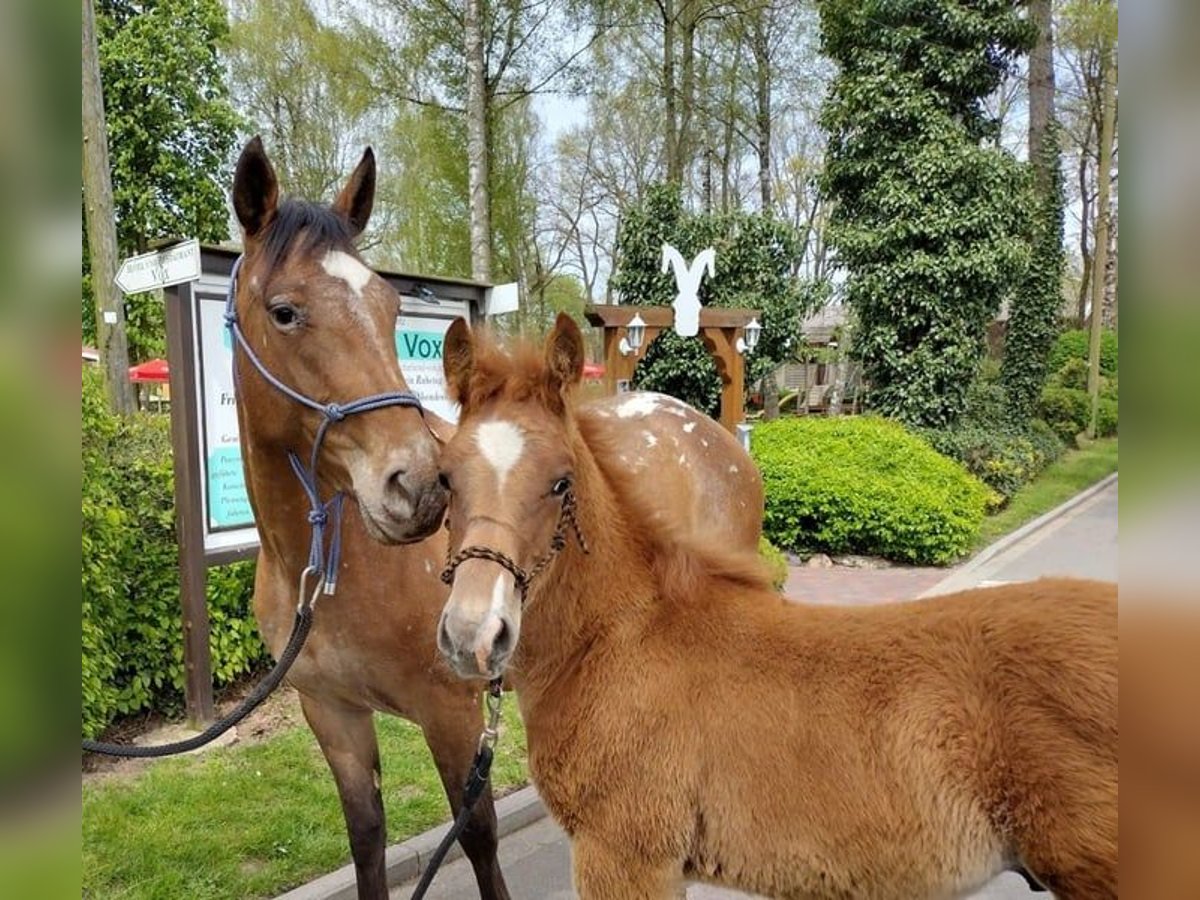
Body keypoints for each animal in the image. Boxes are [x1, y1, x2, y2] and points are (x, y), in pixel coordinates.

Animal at [226, 141, 758, 900]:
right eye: (284, 312)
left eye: (389, 305)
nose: (417, 485)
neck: (332, 565)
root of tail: (706, 427)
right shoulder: (332, 714)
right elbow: (366, 840)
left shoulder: (451, 711)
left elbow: (476, 835)